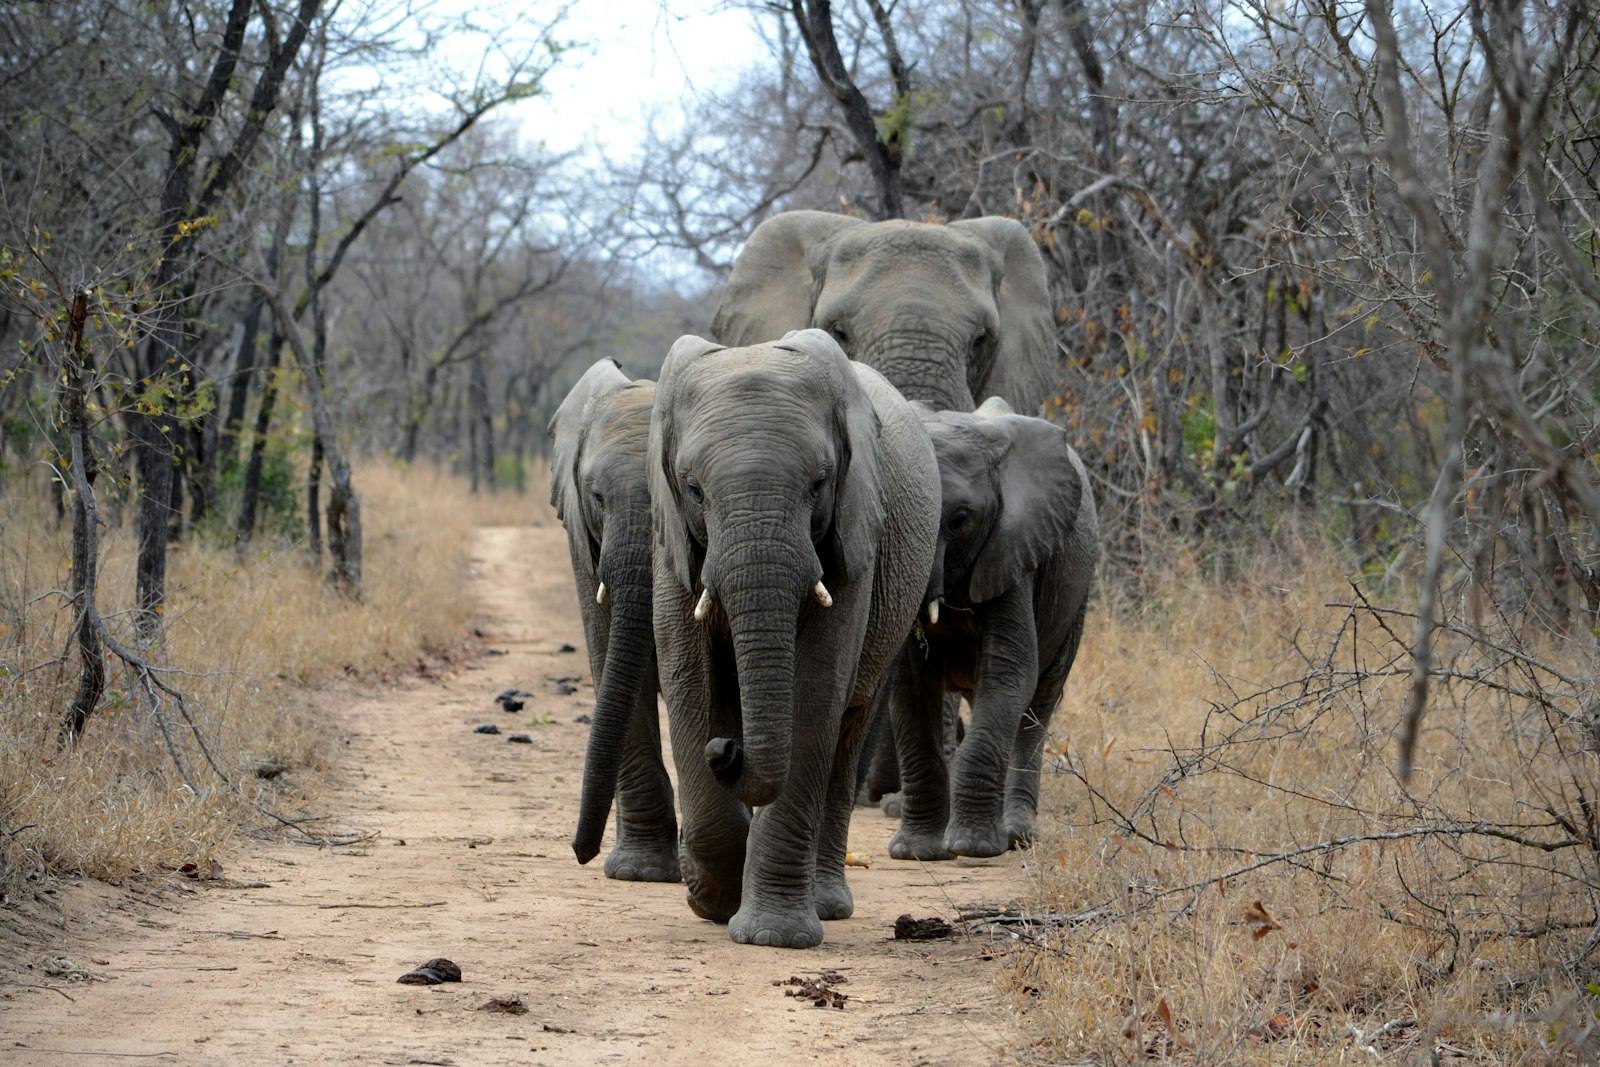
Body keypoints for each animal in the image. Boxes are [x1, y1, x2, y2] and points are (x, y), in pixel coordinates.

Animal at [649, 329, 939, 948]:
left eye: (820, 483)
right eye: (693, 489)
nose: (726, 749)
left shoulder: (856, 531)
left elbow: (816, 691)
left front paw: (770, 936)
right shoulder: (671, 539)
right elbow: (689, 679)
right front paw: (712, 901)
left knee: (848, 729)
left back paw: (826, 904)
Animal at [883, 397, 1098, 862]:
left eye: (960, 519)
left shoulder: (1015, 549)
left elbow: (1009, 672)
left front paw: (973, 847)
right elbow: (909, 686)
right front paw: (916, 852)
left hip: (1076, 599)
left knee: (1037, 706)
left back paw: (1015, 835)